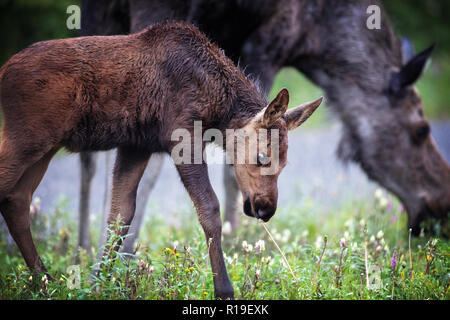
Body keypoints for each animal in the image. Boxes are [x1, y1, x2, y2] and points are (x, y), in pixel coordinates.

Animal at [0, 21, 324, 298]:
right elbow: (209, 208)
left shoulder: (136, 145)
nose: (266, 208)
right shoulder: (183, 137)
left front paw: (98, 285)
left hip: (45, 146)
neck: (219, 106)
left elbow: (120, 215)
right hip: (29, 136)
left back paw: (45, 281)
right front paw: (224, 290)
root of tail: (3, 72)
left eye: (285, 163)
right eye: (261, 156)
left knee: (17, 198)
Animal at [81, 0, 450, 249]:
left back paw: (84, 250)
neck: (318, 35)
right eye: (421, 130)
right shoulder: (268, 41)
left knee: (90, 152)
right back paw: (119, 251)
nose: (441, 206)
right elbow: (235, 165)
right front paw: (239, 244)